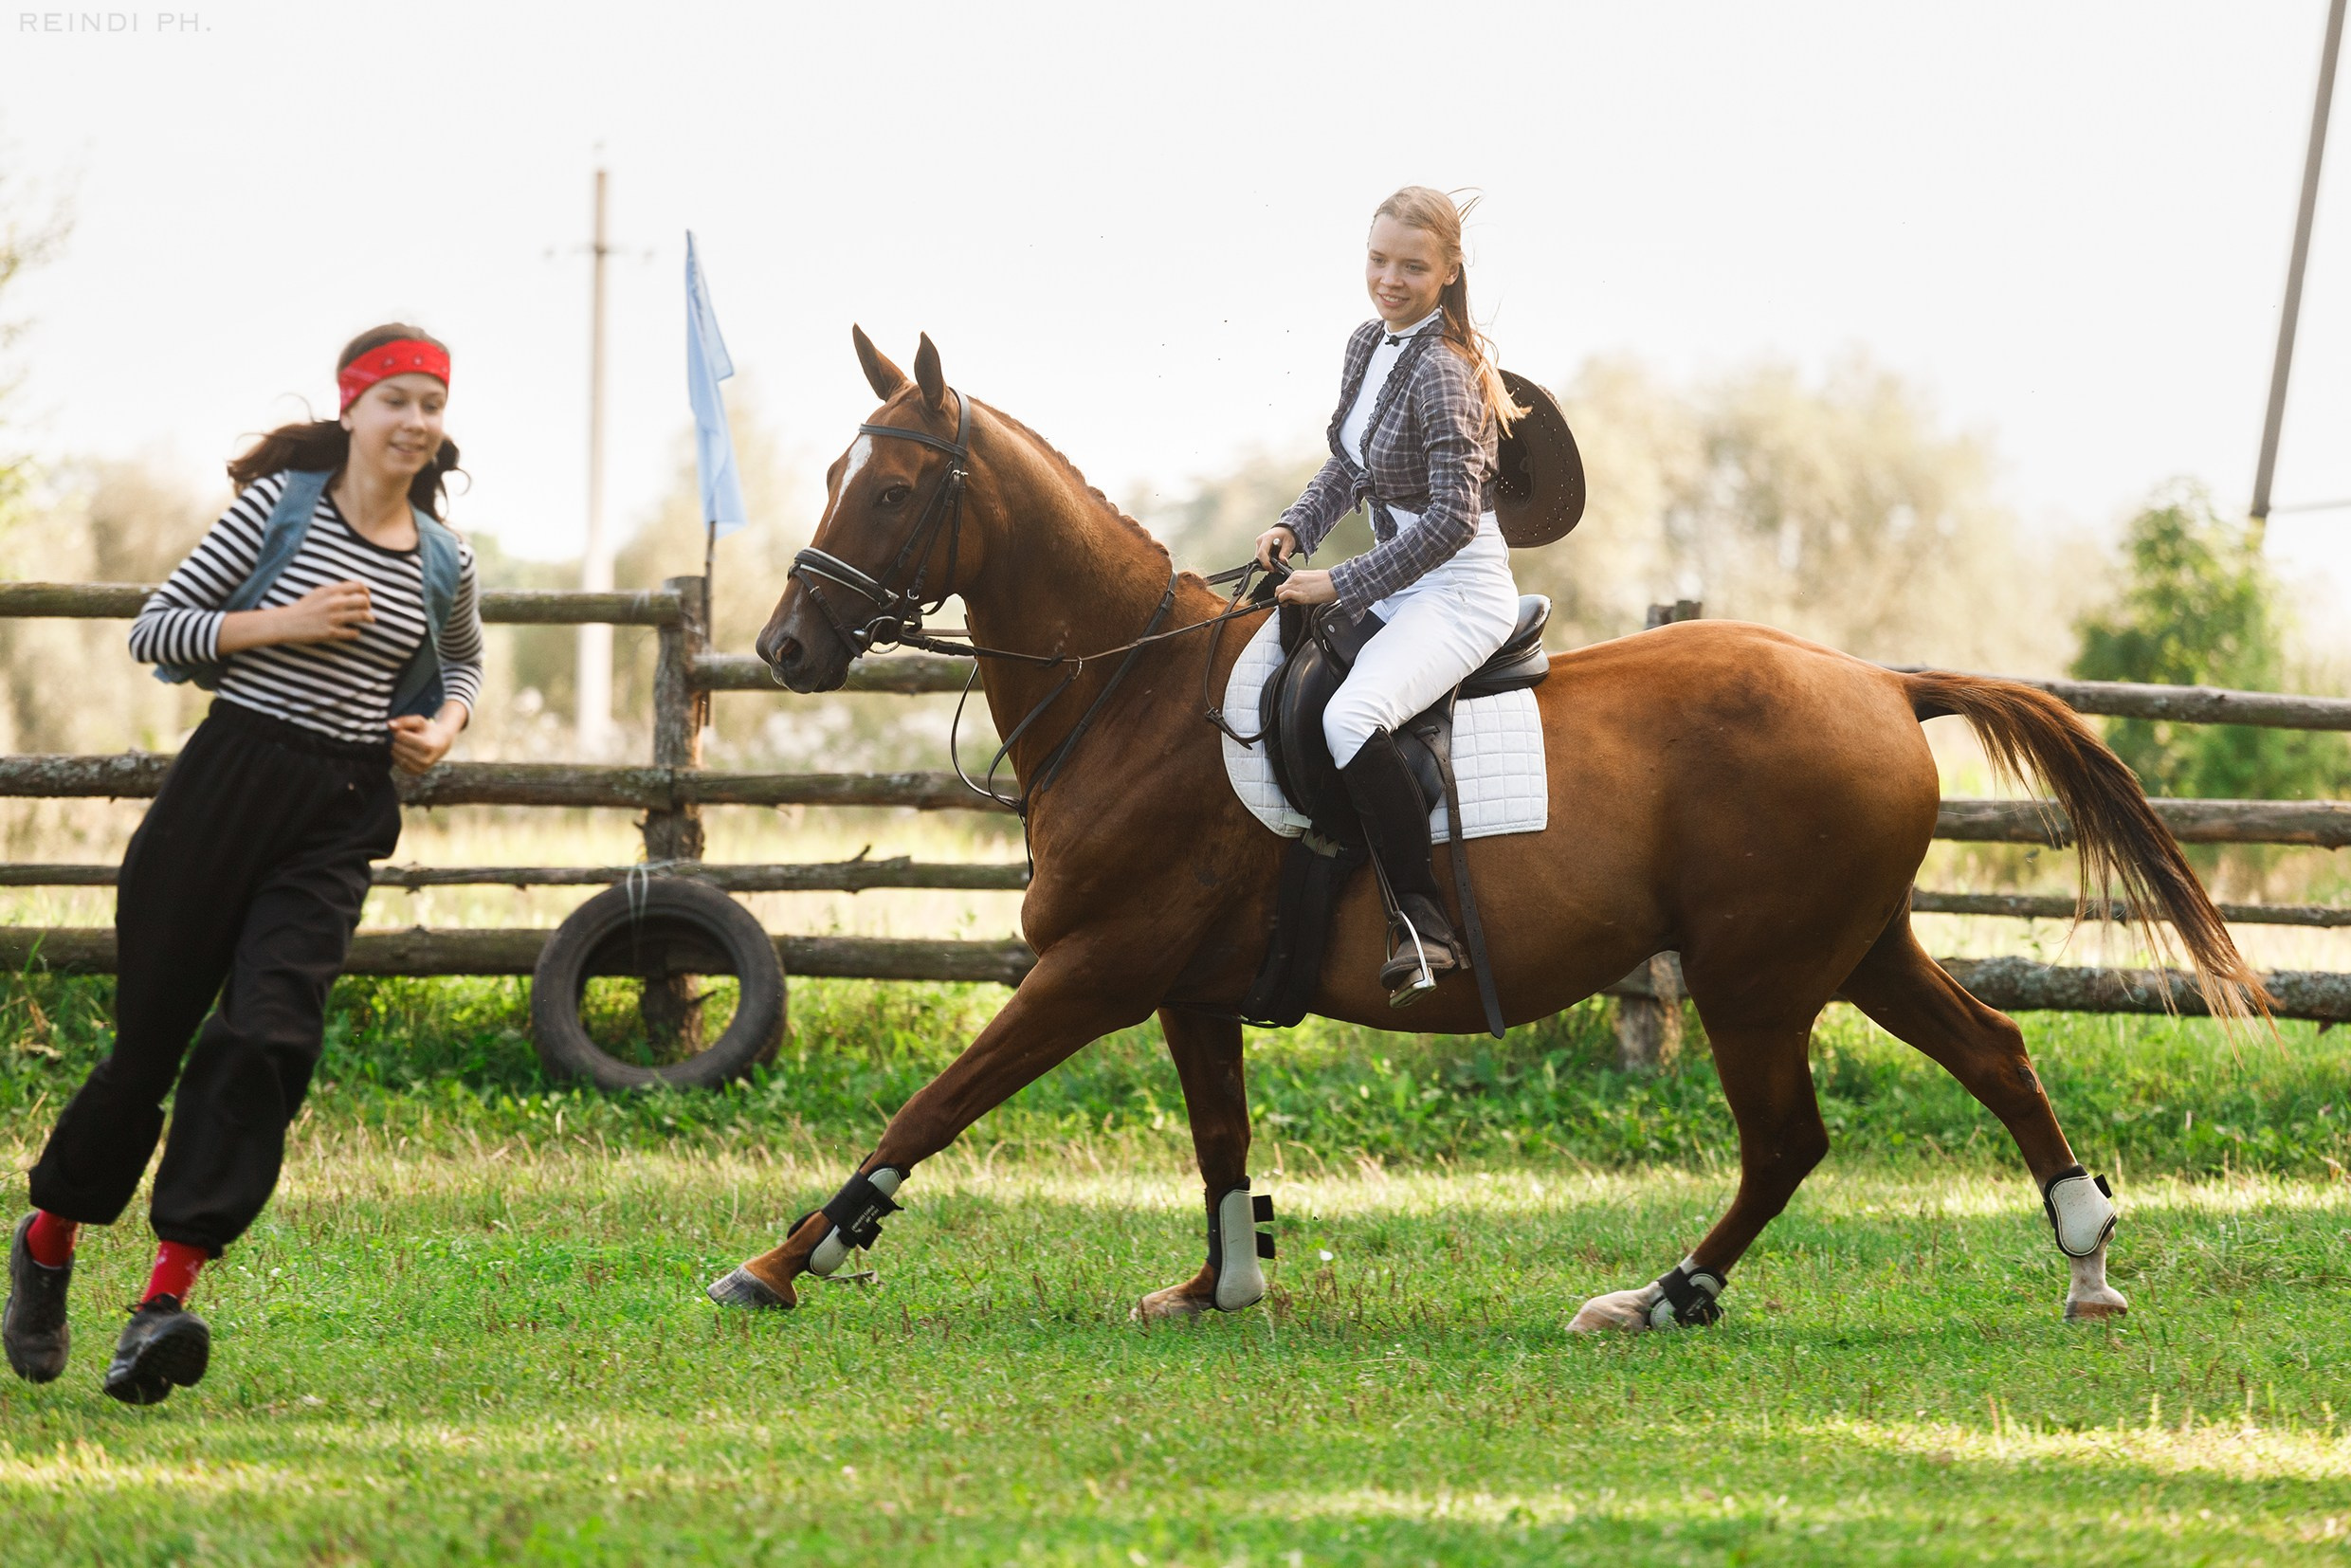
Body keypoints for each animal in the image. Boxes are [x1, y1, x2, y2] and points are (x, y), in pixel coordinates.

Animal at [715, 328, 2264, 1330]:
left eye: (893, 487)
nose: (787, 645)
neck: (1134, 691)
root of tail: (1883, 681)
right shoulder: (1185, 988)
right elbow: (1219, 1141)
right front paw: (1222, 1284)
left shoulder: (1091, 969)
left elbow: (930, 1105)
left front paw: (787, 1261)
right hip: (1850, 945)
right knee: (1993, 1053)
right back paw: (2082, 1258)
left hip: (1756, 973)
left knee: (1787, 1138)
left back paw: (1666, 1294)